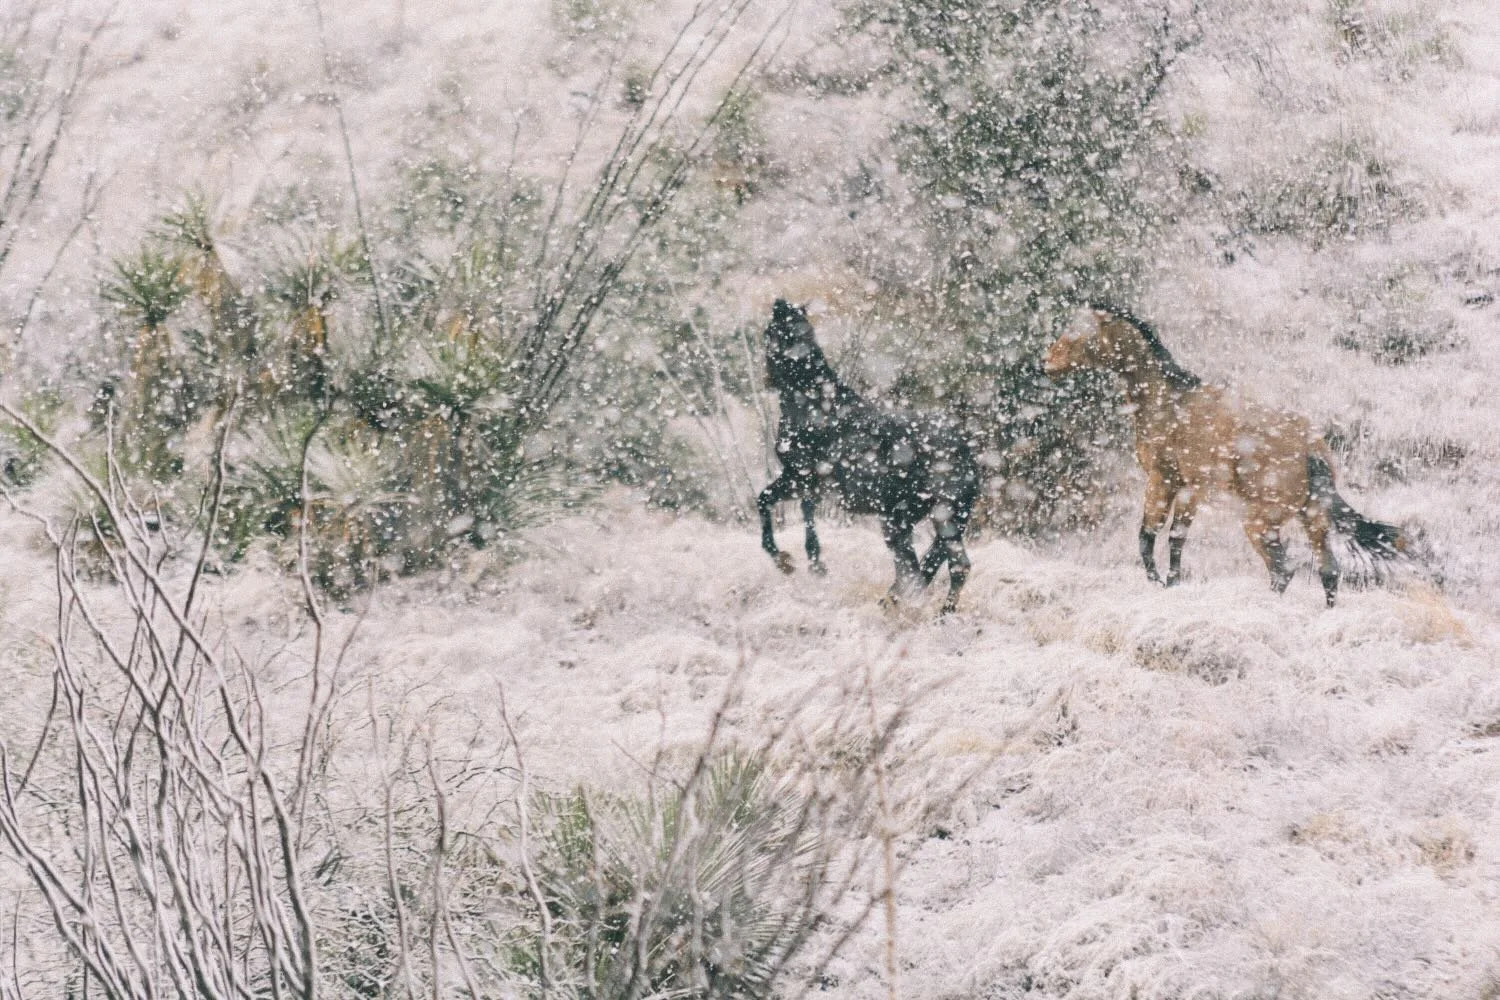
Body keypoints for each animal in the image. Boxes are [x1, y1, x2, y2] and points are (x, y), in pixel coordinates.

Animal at [757, 299, 981, 614]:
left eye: (769, 333)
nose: (766, 378)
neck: (814, 404)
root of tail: (967, 453)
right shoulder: (808, 484)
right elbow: (798, 511)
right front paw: (810, 562)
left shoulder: (800, 478)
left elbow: (770, 503)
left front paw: (787, 561)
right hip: (931, 519)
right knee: (930, 569)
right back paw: (911, 609)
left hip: (918, 519)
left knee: (924, 571)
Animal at [1042, 305, 1406, 607]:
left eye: (1078, 332)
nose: (1046, 361)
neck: (1168, 401)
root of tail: (1311, 450)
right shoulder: (1185, 488)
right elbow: (1168, 537)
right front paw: (1170, 583)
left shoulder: (1168, 482)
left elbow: (1154, 536)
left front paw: (1160, 583)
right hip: (1312, 519)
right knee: (1327, 571)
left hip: (1260, 522)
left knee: (1283, 569)